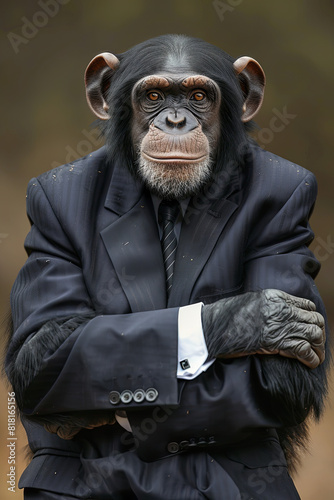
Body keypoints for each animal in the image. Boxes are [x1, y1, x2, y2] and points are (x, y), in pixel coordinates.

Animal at [5, 35, 328, 500]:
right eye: (154, 96)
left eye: (199, 97)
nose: (176, 121)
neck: (173, 200)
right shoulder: (45, 208)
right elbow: (40, 345)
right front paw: (253, 317)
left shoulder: (293, 200)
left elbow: (286, 376)